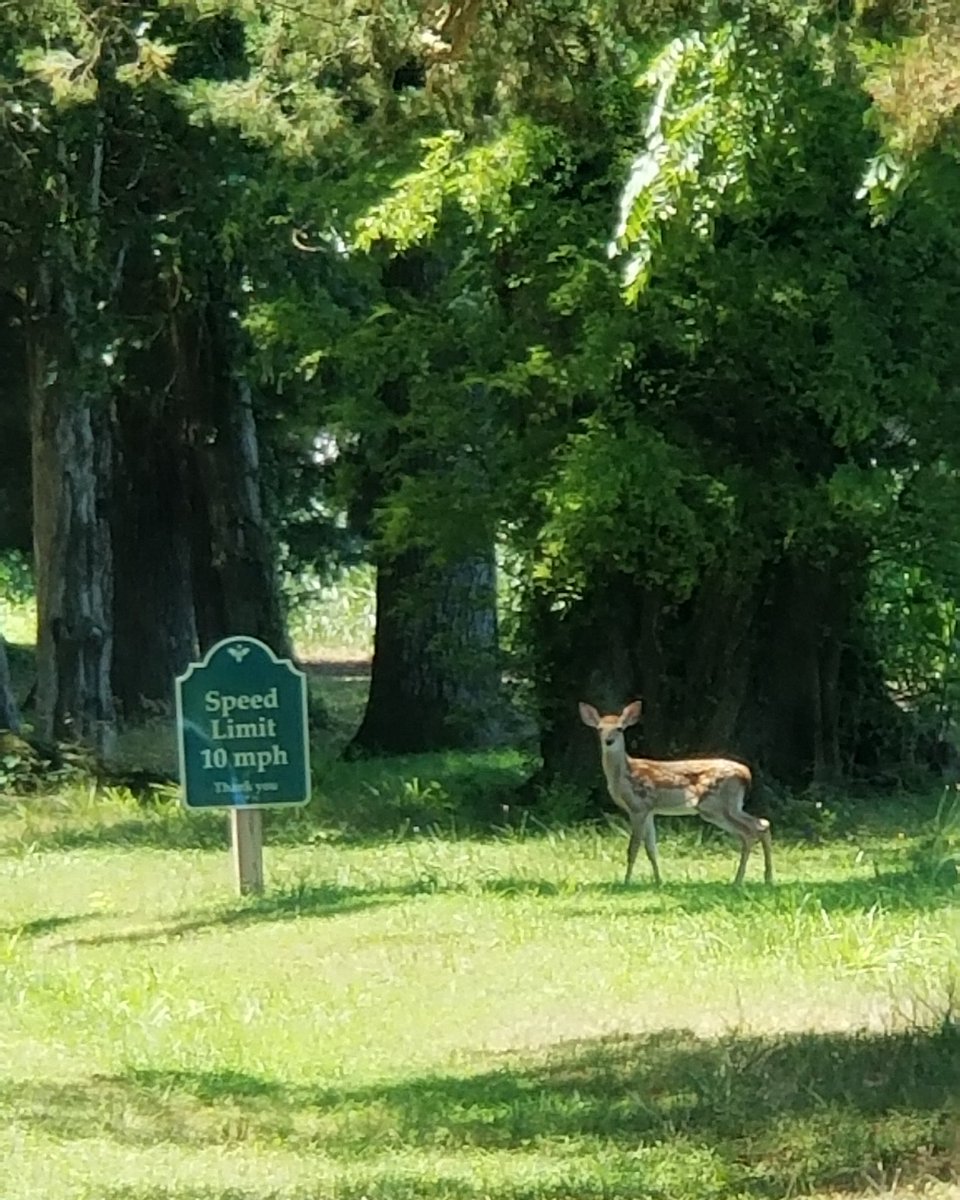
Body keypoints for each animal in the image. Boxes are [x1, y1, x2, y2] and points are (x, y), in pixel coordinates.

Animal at [579, 700, 773, 886]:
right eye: (599, 729)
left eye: (619, 728)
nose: (608, 741)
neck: (624, 775)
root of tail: (746, 774)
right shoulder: (650, 810)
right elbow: (651, 849)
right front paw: (658, 882)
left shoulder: (638, 806)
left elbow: (633, 848)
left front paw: (626, 882)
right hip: (729, 807)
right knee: (762, 823)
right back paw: (765, 878)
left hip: (716, 805)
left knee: (750, 832)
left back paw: (740, 880)